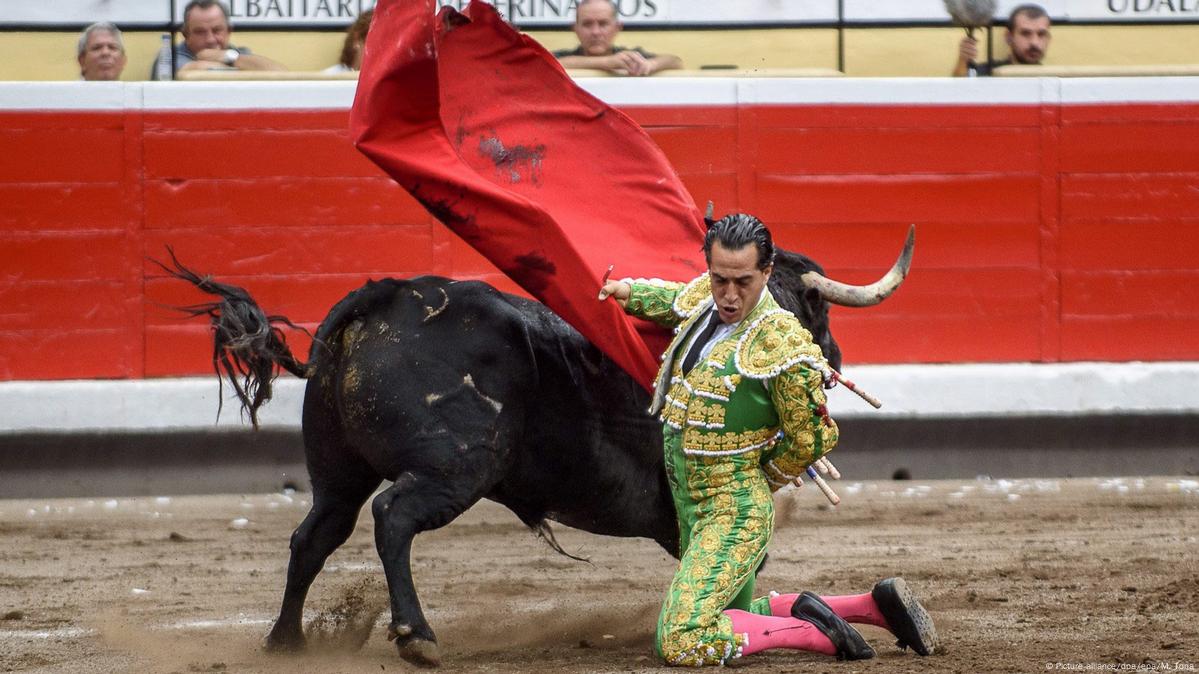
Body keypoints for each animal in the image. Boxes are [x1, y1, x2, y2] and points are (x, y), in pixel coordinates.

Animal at [159, 229, 906, 662]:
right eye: (818, 311)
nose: (823, 362)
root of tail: (386, 297)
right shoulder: (682, 519)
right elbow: (742, 581)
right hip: (455, 467)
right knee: (392, 517)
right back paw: (416, 636)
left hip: (336, 469)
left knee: (315, 535)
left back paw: (285, 641)